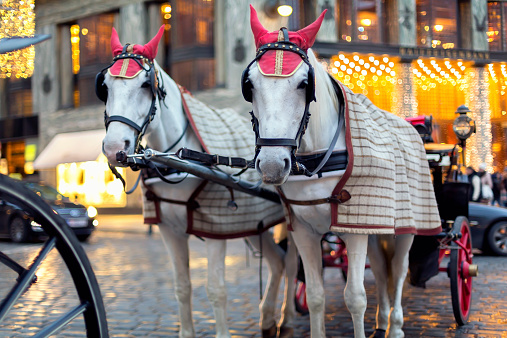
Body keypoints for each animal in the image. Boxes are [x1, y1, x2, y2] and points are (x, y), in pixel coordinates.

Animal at [99, 25, 298, 336]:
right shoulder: (170, 231)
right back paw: (267, 319)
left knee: (291, 263)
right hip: (255, 221)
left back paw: (286, 319)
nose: (113, 147)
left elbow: (216, 290)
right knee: (277, 263)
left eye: (145, 85)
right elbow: (182, 287)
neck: (181, 163)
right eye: (105, 86)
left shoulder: (217, 228)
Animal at [244, 5, 442, 338]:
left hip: (407, 225)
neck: (316, 162)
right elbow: (315, 295)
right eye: (251, 84)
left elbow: (355, 297)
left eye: (304, 84)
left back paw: (396, 326)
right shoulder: (306, 230)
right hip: (374, 225)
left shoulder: (353, 227)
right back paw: (382, 320)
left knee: (399, 270)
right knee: (381, 267)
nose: (271, 164)